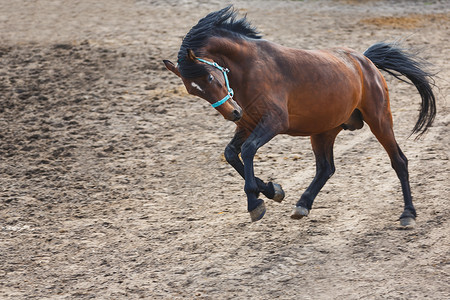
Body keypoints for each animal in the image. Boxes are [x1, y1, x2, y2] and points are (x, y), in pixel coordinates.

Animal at [163, 5, 436, 226]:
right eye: (192, 90)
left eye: (209, 77)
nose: (232, 113)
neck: (250, 67)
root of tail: (365, 61)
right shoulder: (249, 123)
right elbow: (231, 153)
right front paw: (272, 190)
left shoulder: (274, 121)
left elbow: (248, 150)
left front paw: (255, 202)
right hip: (324, 130)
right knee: (326, 168)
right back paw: (303, 204)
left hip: (379, 120)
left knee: (399, 161)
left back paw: (408, 214)